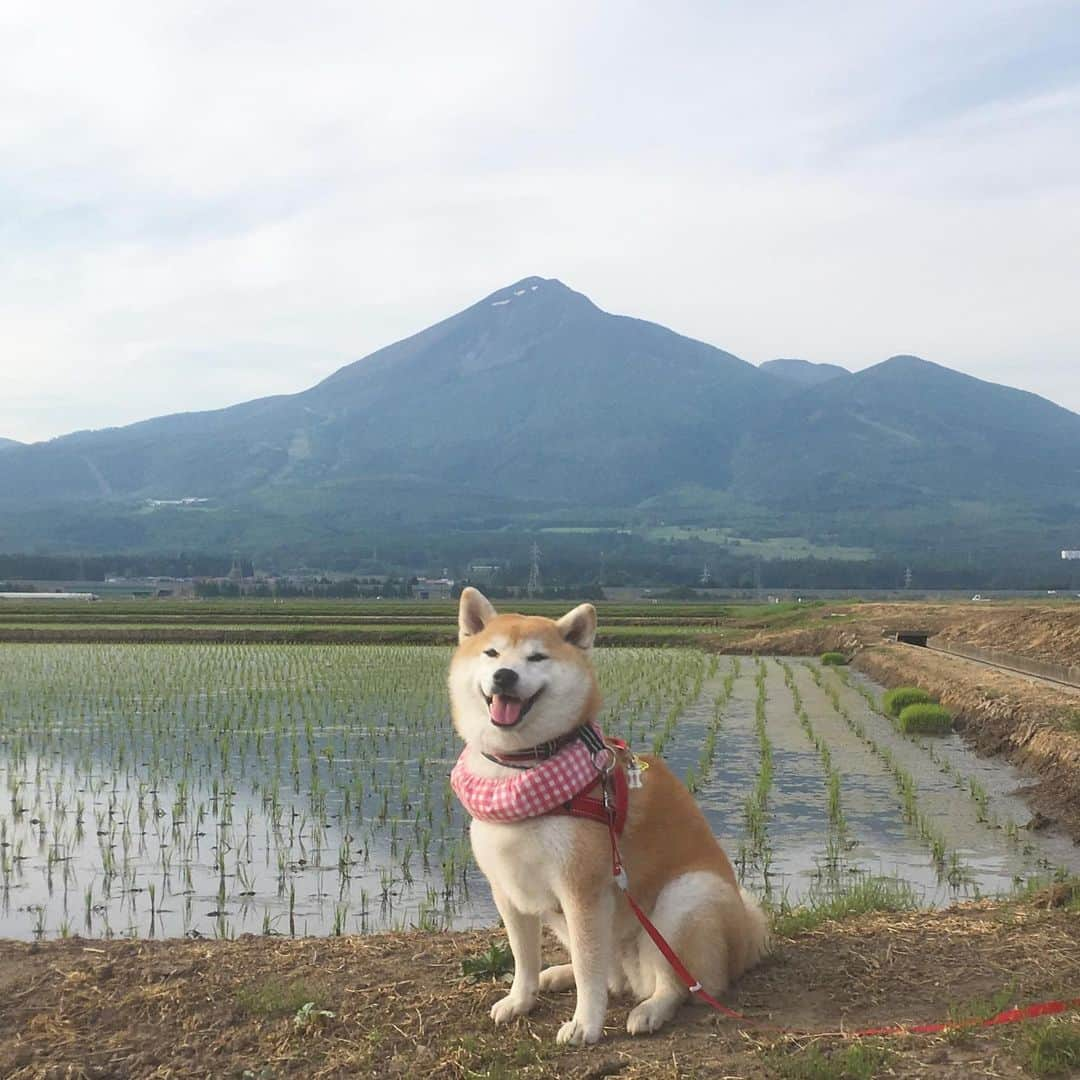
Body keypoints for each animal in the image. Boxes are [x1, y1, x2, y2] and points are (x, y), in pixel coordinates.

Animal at [447, 591, 768, 1045]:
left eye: (537, 657)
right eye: (491, 653)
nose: (505, 676)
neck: (520, 771)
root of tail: (745, 939)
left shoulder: (581, 890)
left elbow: (589, 969)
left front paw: (585, 1024)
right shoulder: (508, 889)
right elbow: (523, 958)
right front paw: (520, 1000)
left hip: (684, 899)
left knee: (678, 985)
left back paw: (650, 1010)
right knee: (612, 979)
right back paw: (556, 975)